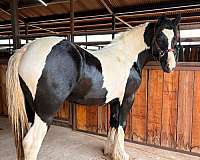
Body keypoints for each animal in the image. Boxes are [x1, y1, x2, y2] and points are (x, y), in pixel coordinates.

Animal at [6, 15, 181, 160]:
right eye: (160, 36)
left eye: (176, 37)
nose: (170, 66)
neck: (127, 57)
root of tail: (26, 49)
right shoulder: (127, 98)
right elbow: (122, 124)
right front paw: (121, 154)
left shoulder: (115, 100)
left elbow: (114, 122)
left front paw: (109, 152)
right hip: (46, 111)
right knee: (31, 143)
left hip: (31, 109)